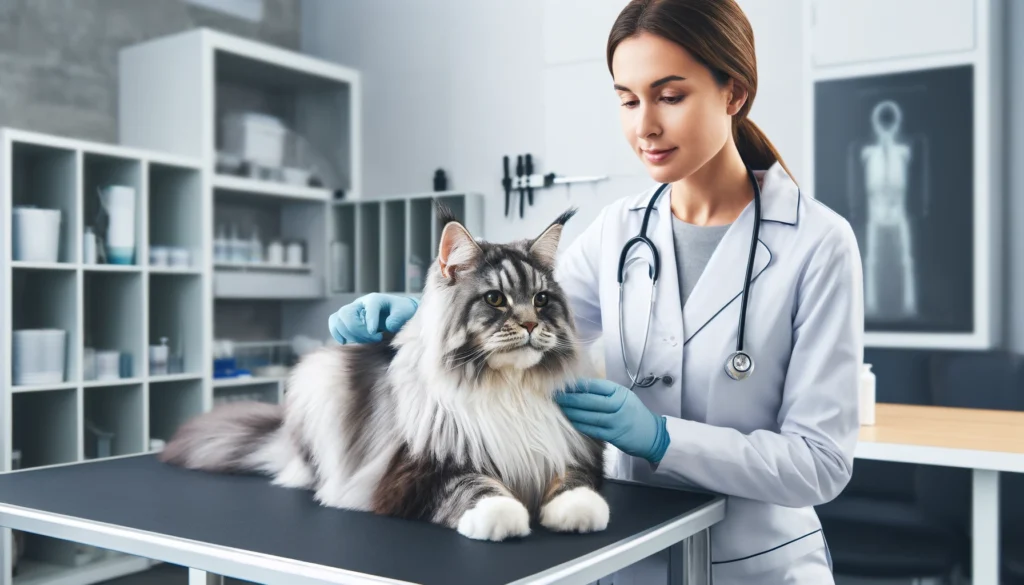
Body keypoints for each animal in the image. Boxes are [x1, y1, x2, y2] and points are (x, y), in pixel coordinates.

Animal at [158, 204, 606, 540]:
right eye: (495, 299)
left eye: (541, 299)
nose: (531, 325)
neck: (507, 387)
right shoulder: (417, 471)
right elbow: (475, 486)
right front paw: (503, 516)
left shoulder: (569, 449)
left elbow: (575, 480)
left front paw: (579, 512)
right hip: (319, 381)